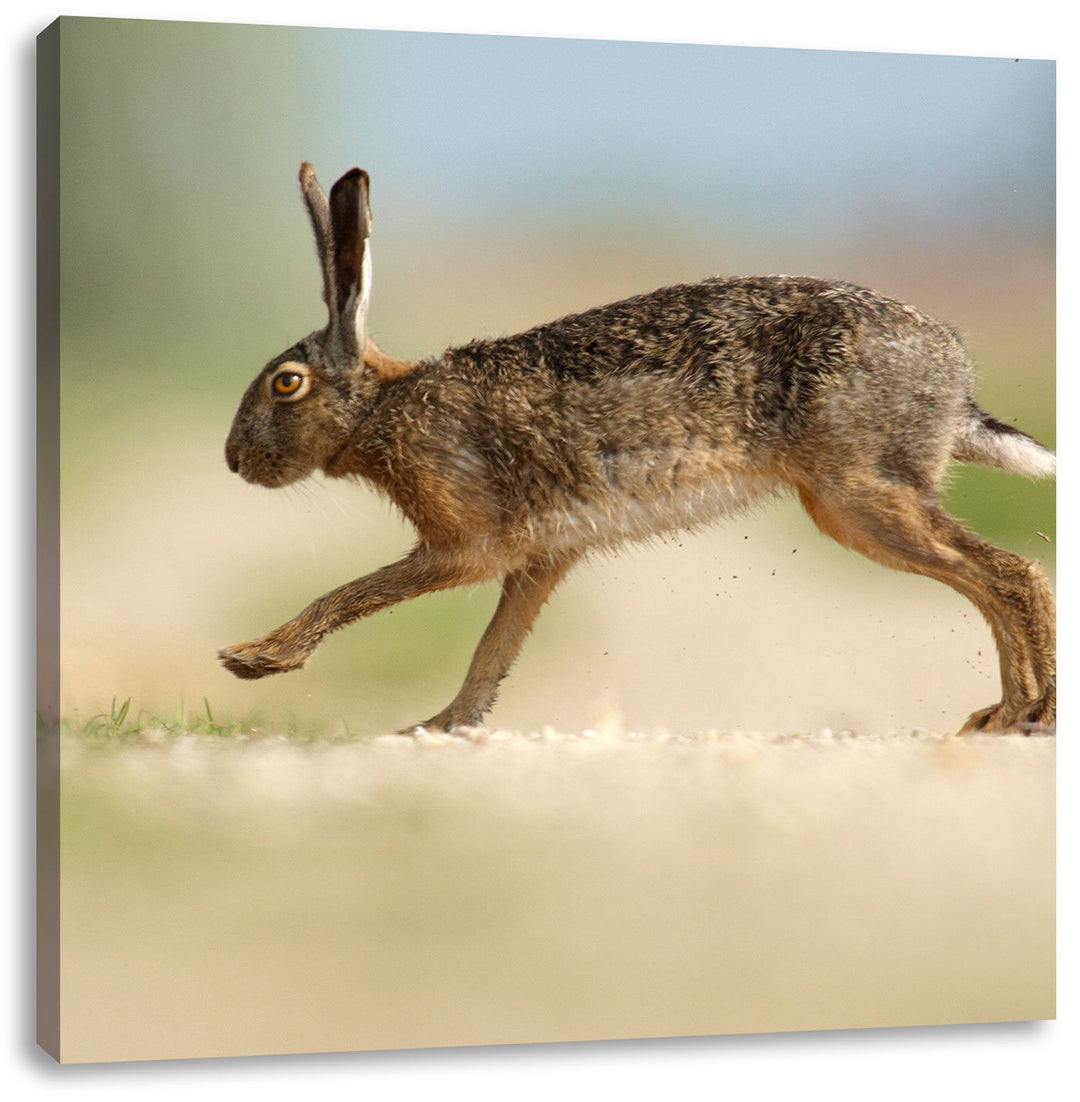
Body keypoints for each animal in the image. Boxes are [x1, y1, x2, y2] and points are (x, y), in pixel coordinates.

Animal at [221, 163, 1056, 736]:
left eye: (286, 385)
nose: (233, 461)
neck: (378, 407)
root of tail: (955, 374)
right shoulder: (542, 558)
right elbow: (493, 650)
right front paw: (437, 727)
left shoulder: (467, 545)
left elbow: (358, 592)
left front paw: (255, 660)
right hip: (856, 503)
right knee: (990, 579)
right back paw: (1002, 714)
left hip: (860, 492)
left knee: (1012, 574)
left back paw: (1030, 715)